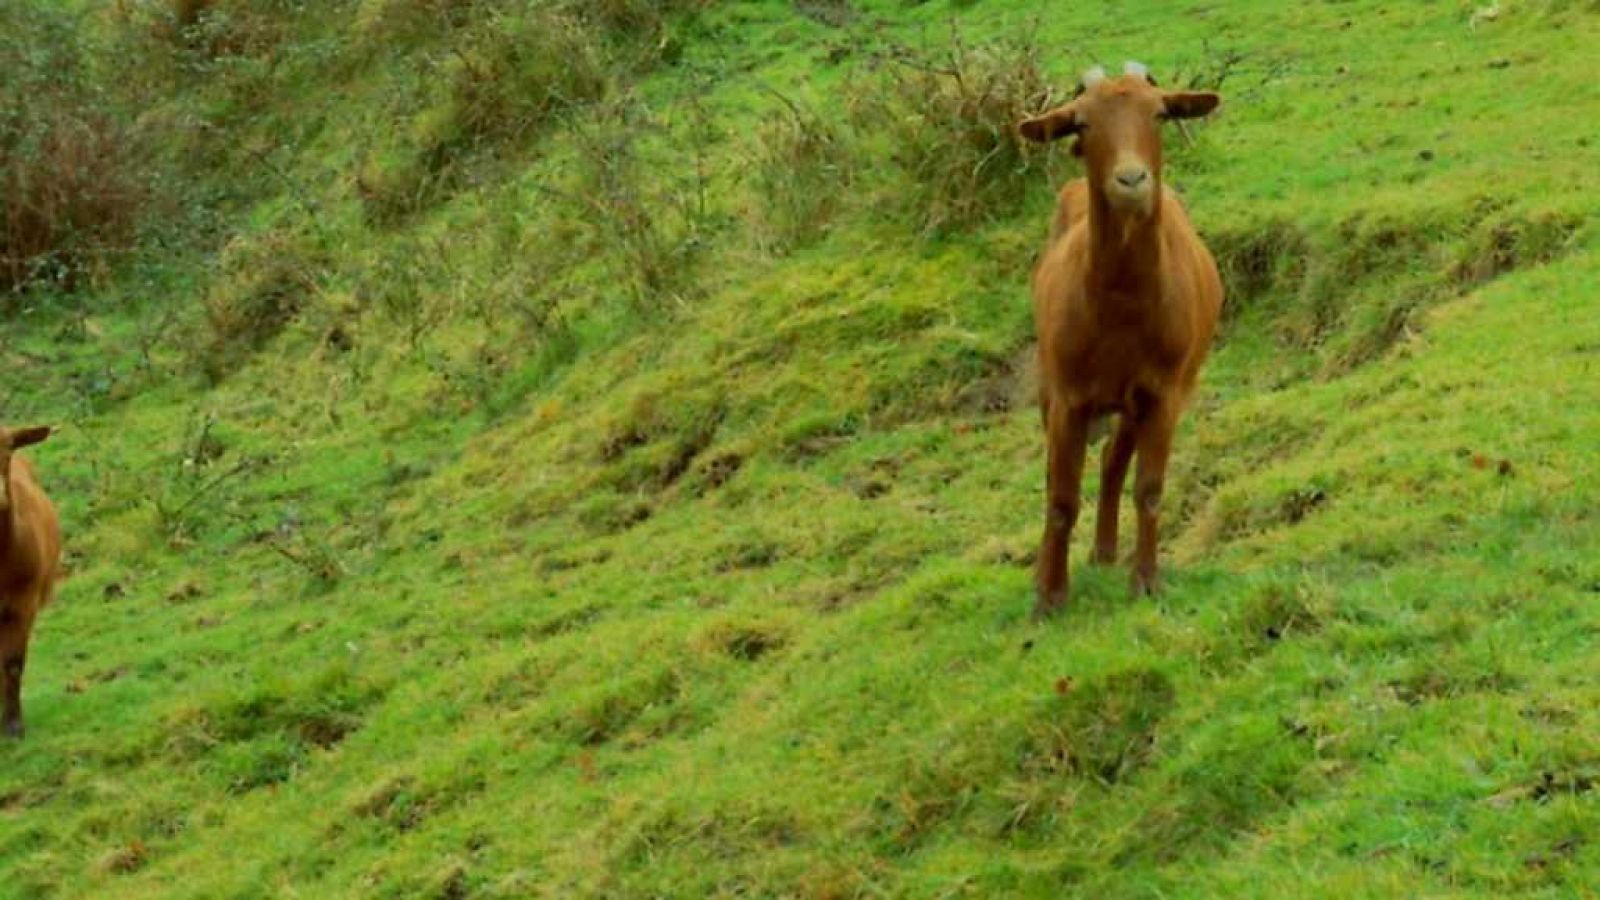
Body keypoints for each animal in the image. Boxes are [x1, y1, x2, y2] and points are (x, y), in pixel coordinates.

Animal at [1024, 64, 1222, 614]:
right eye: (1082, 123)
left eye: (1159, 113)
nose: (1131, 181)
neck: (1121, 306)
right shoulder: (1068, 397)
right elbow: (1061, 499)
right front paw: (1049, 595)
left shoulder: (1162, 393)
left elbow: (1148, 487)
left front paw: (1147, 581)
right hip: (1051, 387)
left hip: (1137, 401)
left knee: (1114, 461)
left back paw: (1107, 550)